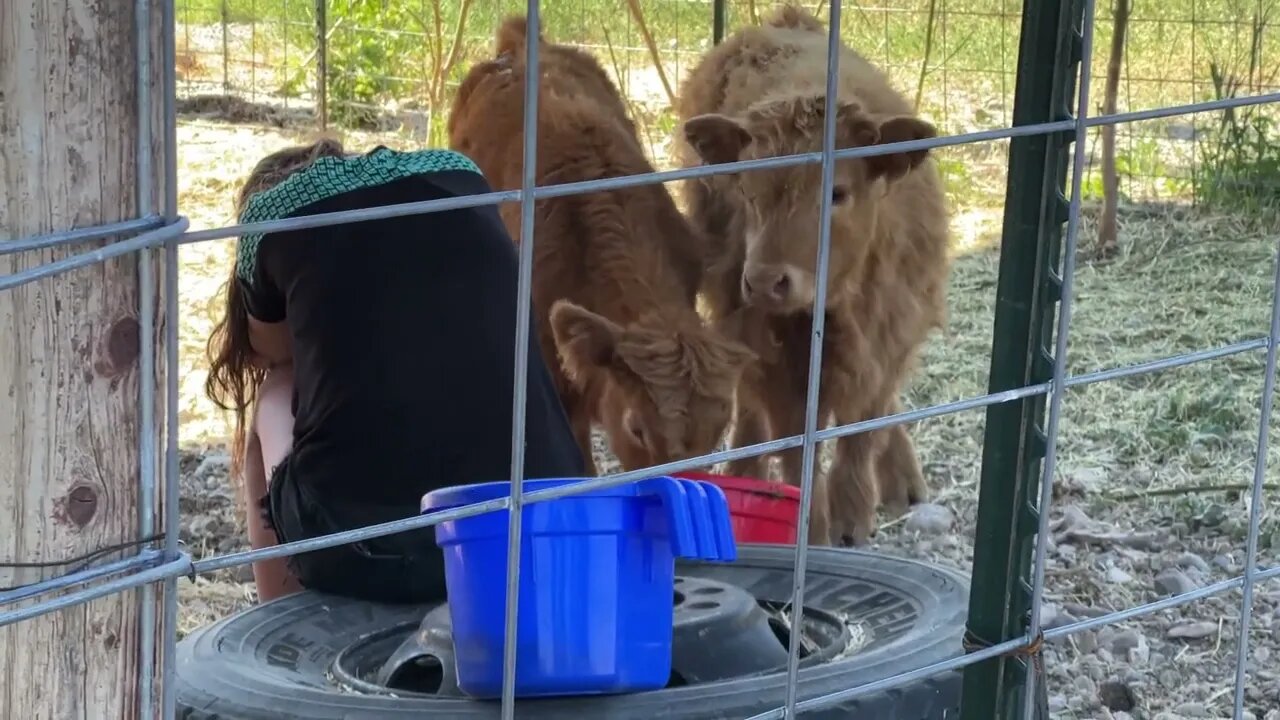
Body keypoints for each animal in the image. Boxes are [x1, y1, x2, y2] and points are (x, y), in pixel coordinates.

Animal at [675, 5, 947, 543]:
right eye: (745, 187)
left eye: (838, 192)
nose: (765, 281)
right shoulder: (781, 364)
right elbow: (799, 451)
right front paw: (815, 532)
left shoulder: (887, 342)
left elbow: (860, 434)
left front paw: (852, 520)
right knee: (751, 405)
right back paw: (746, 474)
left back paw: (902, 480)